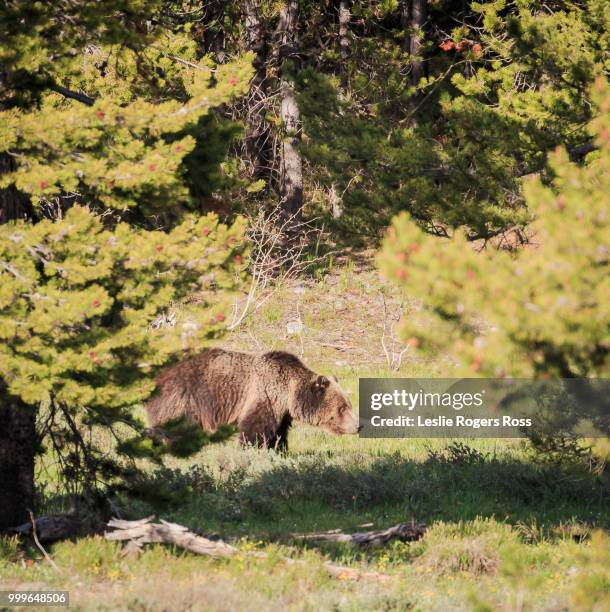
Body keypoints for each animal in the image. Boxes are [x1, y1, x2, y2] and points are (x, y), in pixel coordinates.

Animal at [145, 350, 358, 450]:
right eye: (342, 408)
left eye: (348, 404)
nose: (358, 425)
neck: (289, 392)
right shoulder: (264, 394)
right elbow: (254, 427)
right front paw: (250, 448)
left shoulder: (281, 411)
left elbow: (279, 434)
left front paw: (279, 450)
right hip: (184, 396)